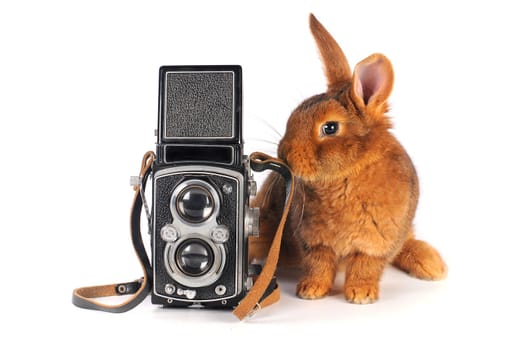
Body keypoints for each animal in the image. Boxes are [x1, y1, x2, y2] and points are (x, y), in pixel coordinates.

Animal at [248, 14, 444, 304]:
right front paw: (311, 290)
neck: (346, 176)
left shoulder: (377, 243)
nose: (285, 154)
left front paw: (361, 294)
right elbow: (319, 264)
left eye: (330, 128)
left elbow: (366, 265)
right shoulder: (314, 240)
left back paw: (432, 265)